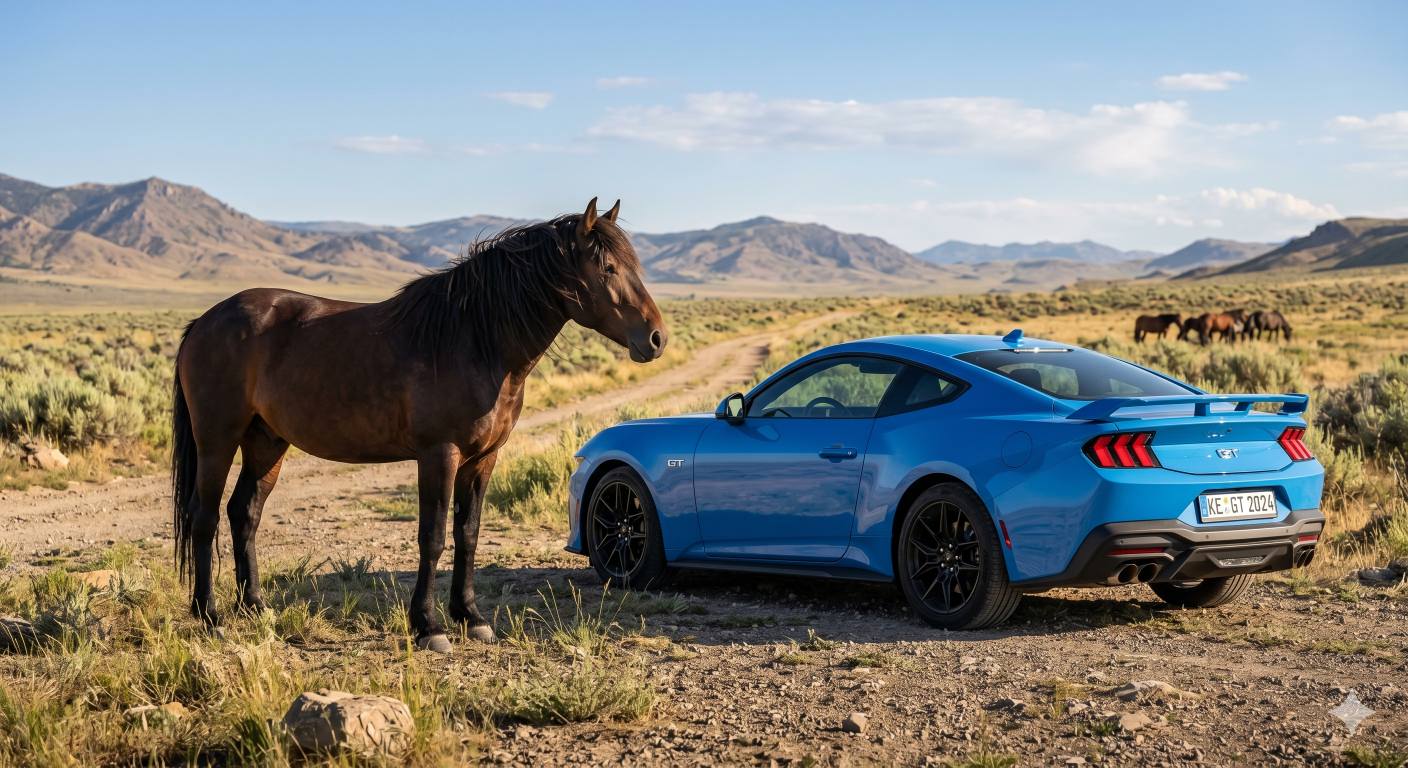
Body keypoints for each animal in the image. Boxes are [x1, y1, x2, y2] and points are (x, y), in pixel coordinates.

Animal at [170, 198, 667, 653]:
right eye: (607, 267)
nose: (657, 338)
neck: (475, 340)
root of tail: (203, 322)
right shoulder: (438, 455)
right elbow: (433, 536)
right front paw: (428, 626)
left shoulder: (483, 459)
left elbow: (468, 534)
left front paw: (470, 617)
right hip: (218, 440)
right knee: (204, 516)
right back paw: (209, 615)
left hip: (267, 442)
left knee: (244, 513)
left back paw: (255, 606)